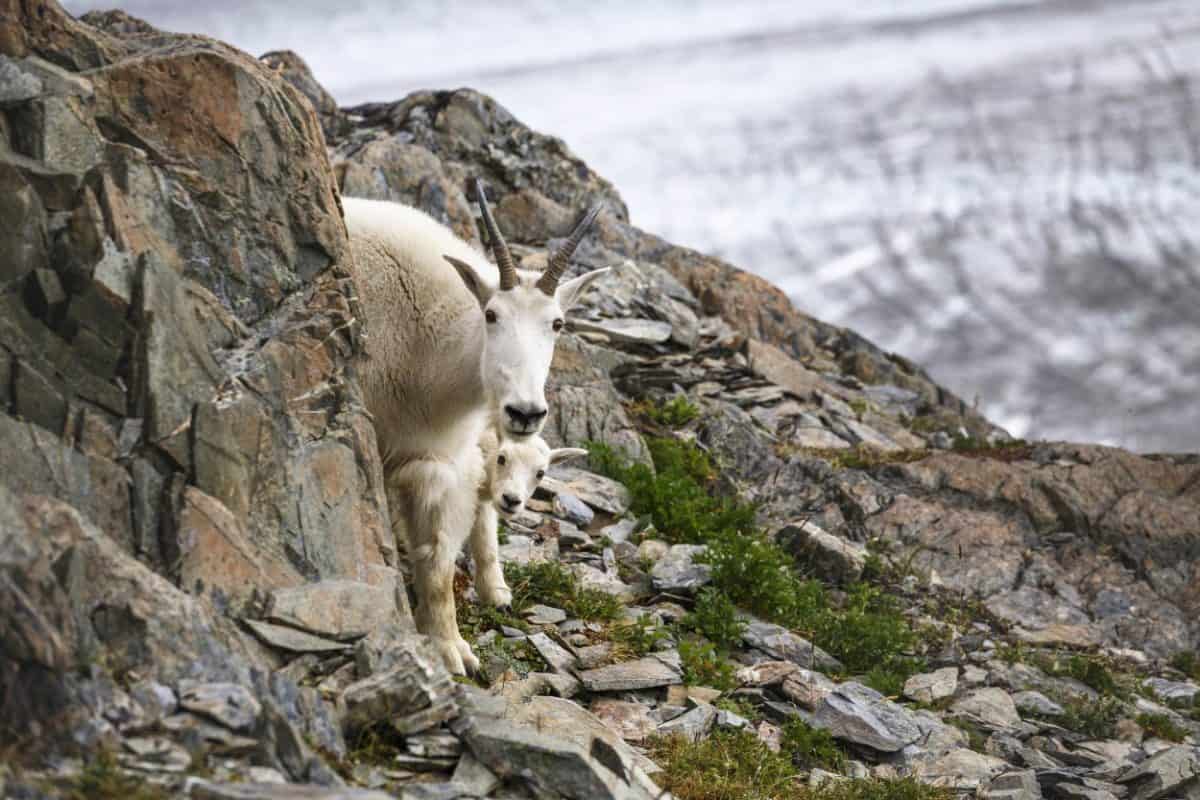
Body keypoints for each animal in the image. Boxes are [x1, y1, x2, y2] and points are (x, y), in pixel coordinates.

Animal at [343, 182, 607, 673]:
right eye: (491, 314)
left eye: (557, 323)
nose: (525, 413)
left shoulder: (438, 462)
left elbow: (439, 557)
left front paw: (450, 647)